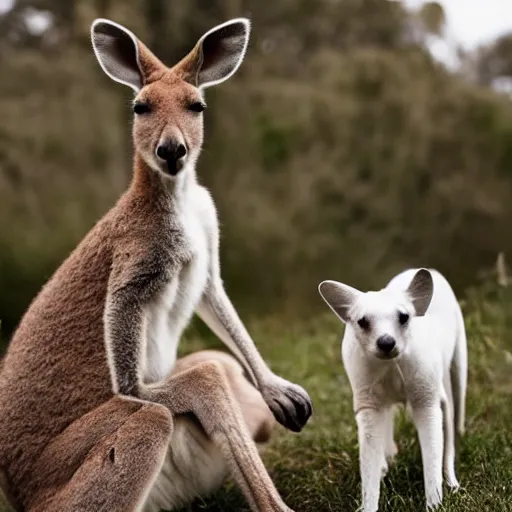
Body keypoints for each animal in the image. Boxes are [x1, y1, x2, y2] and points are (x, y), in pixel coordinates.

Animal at [320, 270, 468, 510]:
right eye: (362, 322)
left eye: (404, 317)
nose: (386, 342)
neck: (391, 366)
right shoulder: (368, 404)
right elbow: (368, 468)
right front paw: (368, 505)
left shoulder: (426, 400)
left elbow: (433, 456)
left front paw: (435, 504)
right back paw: (387, 461)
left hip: (458, 363)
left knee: (455, 416)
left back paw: (453, 476)